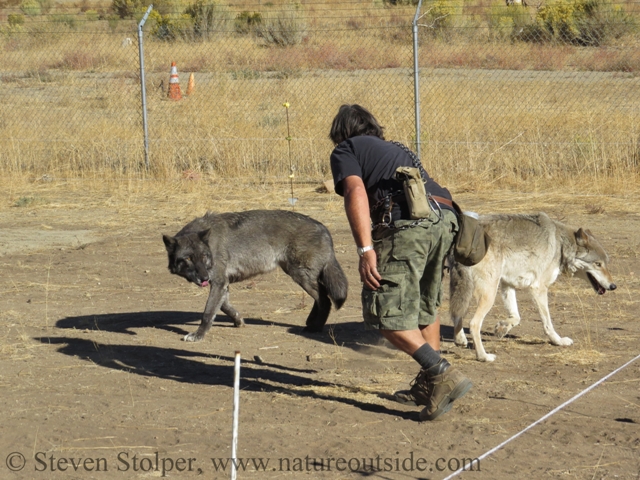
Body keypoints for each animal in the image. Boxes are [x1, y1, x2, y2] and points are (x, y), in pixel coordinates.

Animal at [162, 210, 348, 342]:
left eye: (203, 256)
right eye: (188, 258)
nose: (204, 278)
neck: (210, 247)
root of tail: (323, 227)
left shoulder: (218, 282)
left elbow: (208, 312)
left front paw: (198, 335)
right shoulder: (223, 284)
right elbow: (224, 306)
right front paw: (238, 321)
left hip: (301, 276)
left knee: (325, 300)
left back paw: (315, 327)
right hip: (299, 276)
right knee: (321, 299)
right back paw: (310, 323)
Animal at [448, 212, 616, 362]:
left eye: (606, 264)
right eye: (598, 264)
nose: (613, 286)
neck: (562, 245)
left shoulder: (507, 284)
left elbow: (516, 317)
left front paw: (502, 328)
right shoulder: (538, 288)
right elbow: (547, 323)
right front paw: (558, 341)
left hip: (466, 289)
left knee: (456, 314)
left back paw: (460, 339)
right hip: (489, 294)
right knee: (473, 324)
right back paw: (483, 356)